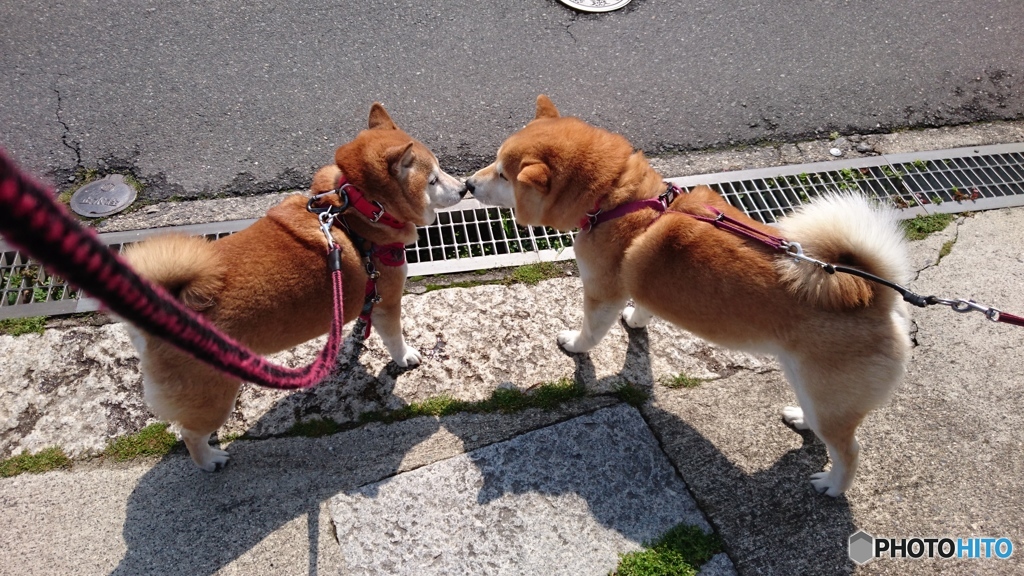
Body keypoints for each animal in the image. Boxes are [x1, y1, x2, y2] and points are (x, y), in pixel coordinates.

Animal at [122, 104, 468, 471]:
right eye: (432, 179)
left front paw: (359, 333)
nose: (464, 188)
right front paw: (405, 356)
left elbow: (363, 320)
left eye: (441, 169)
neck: (357, 213)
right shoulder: (388, 300)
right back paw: (209, 460)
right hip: (213, 393)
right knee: (190, 432)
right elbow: (394, 339)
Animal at [466, 94, 913, 494]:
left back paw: (833, 485)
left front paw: (575, 345)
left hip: (830, 396)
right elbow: (643, 306)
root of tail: (876, 298)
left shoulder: (601, 291)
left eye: (503, 175)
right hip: (812, 386)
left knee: (849, 450)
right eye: (494, 163)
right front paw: (636, 320)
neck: (619, 200)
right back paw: (802, 421)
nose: (468, 184)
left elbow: (591, 331)